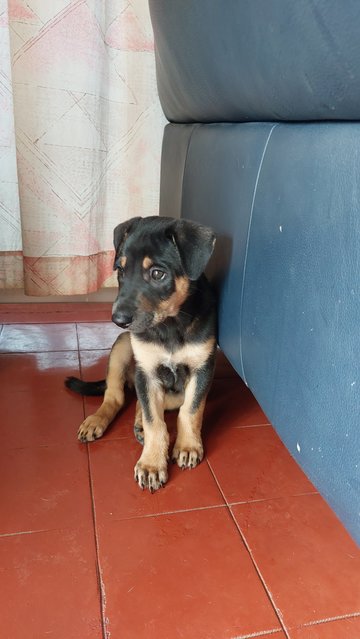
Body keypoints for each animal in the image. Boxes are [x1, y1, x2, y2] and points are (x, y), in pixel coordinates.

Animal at [65, 218, 217, 492]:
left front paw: (188, 446)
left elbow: (190, 411)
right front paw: (151, 464)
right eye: (121, 270)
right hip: (122, 347)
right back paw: (97, 420)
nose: (118, 320)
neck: (170, 325)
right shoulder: (146, 371)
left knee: (143, 402)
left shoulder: (202, 369)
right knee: (116, 397)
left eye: (157, 273)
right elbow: (154, 420)